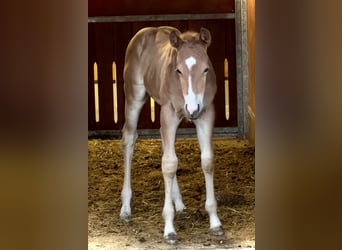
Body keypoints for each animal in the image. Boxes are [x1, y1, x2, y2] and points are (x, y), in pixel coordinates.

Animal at [120, 26, 224, 243]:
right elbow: (168, 164)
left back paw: (179, 202)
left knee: (165, 145)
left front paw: (215, 221)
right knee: (129, 139)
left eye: (206, 69)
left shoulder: (206, 114)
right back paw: (125, 208)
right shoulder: (168, 113)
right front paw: (169, 229)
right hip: (134, 97)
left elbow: (207, 161)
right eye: (178, 70)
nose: (191, 109)